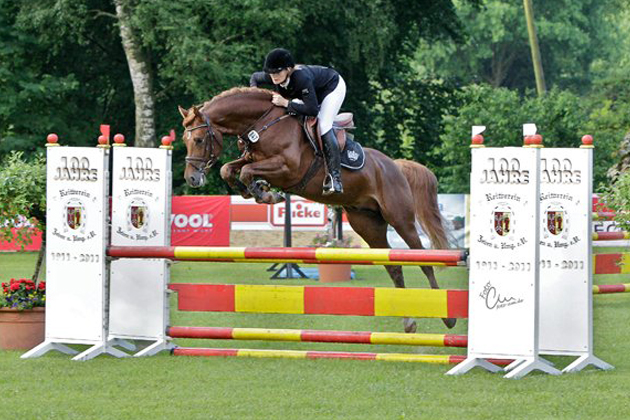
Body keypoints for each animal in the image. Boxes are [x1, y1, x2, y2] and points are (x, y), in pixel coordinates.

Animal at [178, 87, 455, 332]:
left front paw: (266, 193)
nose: (192, 178)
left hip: (400, 219)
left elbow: (246, 171)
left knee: (424, 261)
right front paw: (256, 190)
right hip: (367, 224)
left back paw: (447, 317)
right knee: (394, 266)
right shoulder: (253, 159)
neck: (264, 122)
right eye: (184, 140)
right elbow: (230, 169)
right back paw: (409, 322)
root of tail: (395, 165)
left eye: (199, 140)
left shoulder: (287, 168)